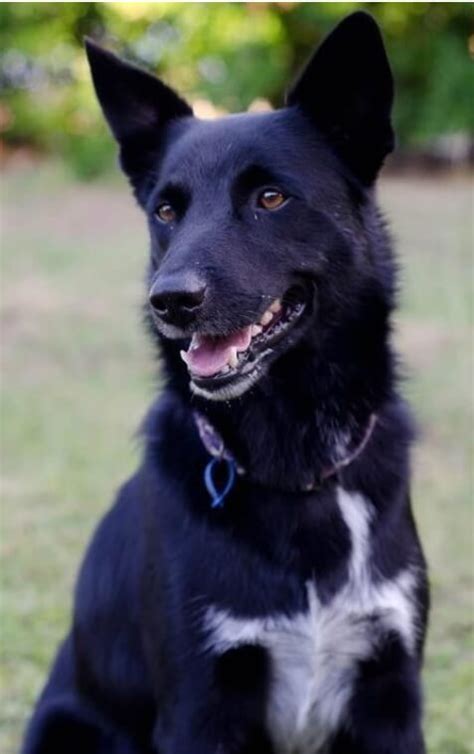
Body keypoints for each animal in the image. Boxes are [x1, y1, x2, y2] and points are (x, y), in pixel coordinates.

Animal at [21, 11, 430, 752]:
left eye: (271, 197)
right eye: (165, 211)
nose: (170, 301)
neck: (298, 467)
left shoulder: (391, 698)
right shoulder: (199, 706)